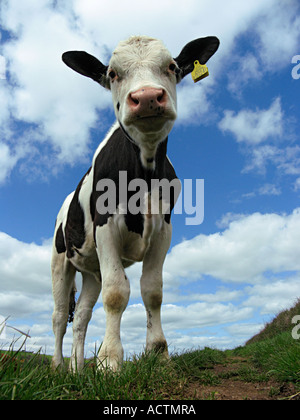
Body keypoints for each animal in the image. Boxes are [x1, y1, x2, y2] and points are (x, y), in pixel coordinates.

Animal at [52, 36, 218, 370]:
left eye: (172, 66)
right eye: (113, 74)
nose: (147, 97)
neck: (145, 173)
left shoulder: (164, 229)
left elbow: (152, 291)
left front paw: (159, 353)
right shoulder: (105, 226)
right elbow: (116, 293)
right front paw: (109, 362)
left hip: (91, 271)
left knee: (82, 317)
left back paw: (77, 370)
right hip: (59, 260)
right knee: (60, 317)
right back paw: (58, 368)